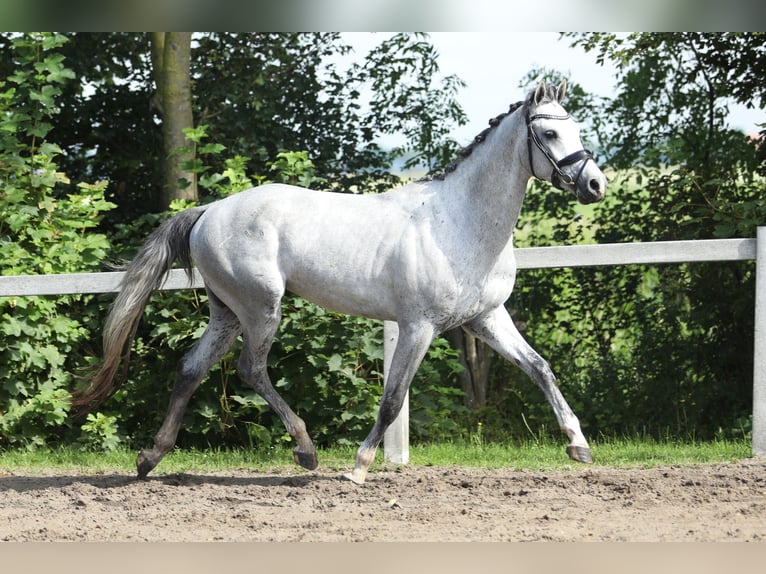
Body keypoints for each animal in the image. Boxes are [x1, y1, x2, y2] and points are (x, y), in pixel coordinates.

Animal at [72, 79, 606, 485]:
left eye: (576, 127)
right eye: (550, 132)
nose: (595, 184)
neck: (460, 222)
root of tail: (209, 211)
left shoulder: (486, 319)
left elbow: (540, 368)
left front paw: (578, 446)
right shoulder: (419, 327)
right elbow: (392, 400)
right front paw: (359, 467)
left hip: (227, 312)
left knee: (190, 369)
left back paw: (150, 458)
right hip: (261, 308)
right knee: (250, 370)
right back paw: (305, 451)